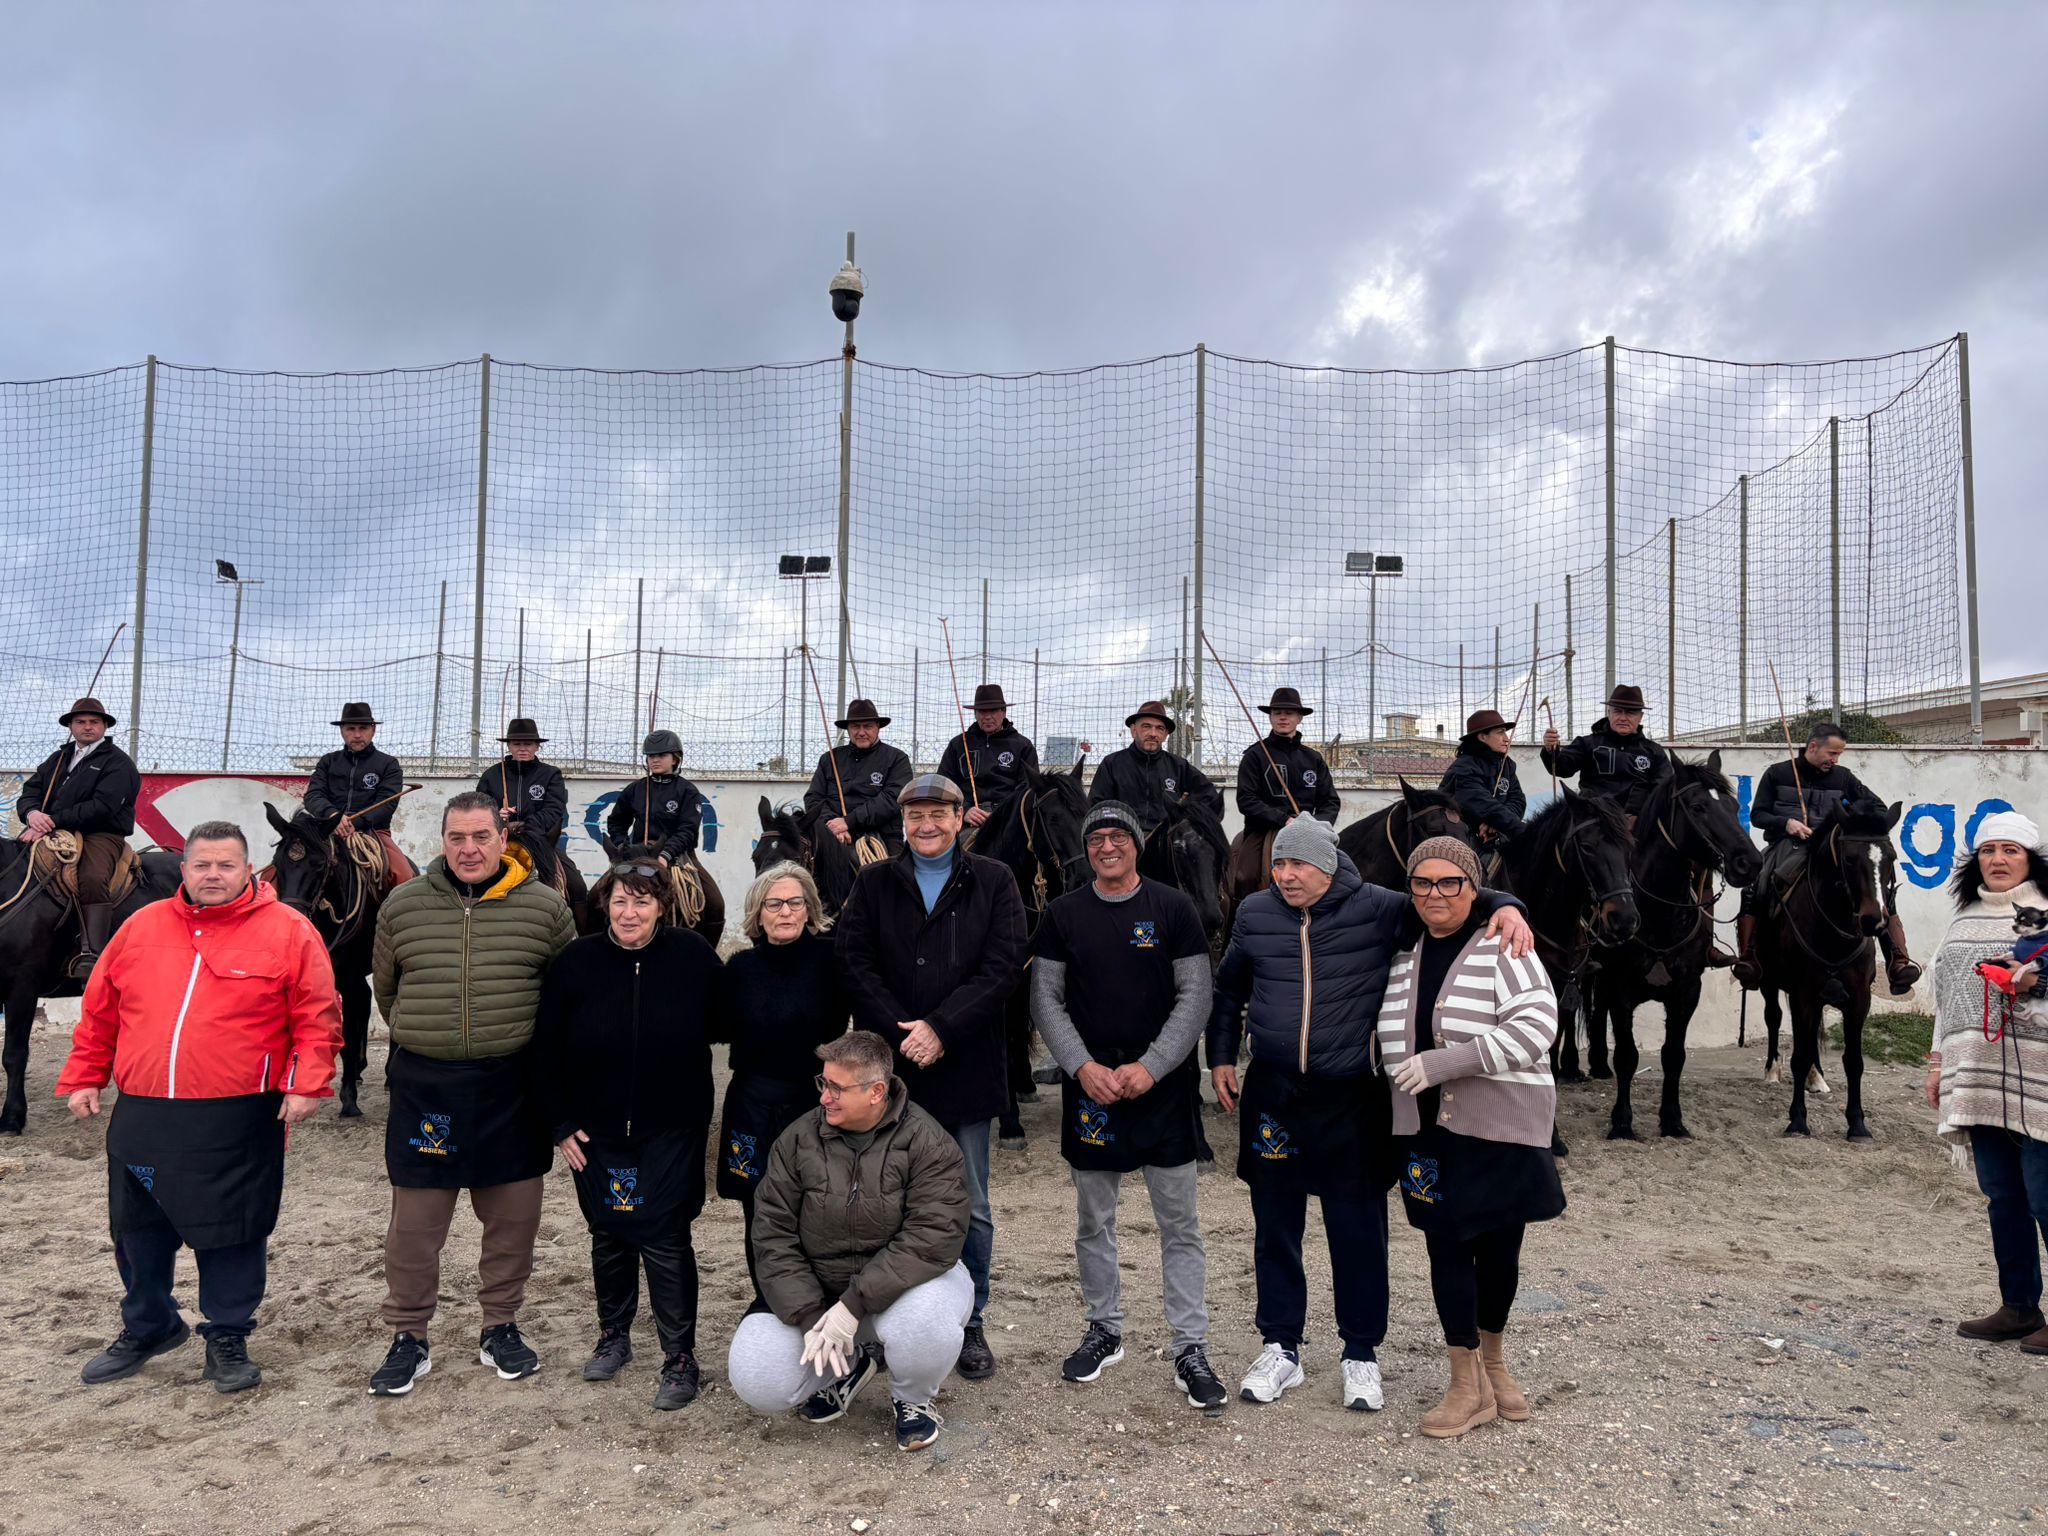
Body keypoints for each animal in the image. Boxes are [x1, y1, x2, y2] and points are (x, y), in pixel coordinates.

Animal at [1581, 757, 1761, 1146]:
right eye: (1698, 807)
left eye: (1733, 806)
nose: (1749, 863)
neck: (1656, 913)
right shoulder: (1621, 991)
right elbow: (1628, 1056)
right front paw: (1622, 1123)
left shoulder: (1686, 992)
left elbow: (1673, 1056)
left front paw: (1672, 1121)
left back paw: (1599, 1064)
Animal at [1753, 798, 1892, 1138]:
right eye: (1850, 858)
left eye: (1891, 858)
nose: (1874, 920)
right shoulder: (1802, 993)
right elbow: (1799, 1056)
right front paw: (1797, 1121)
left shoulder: (1859, 999)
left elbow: (1853, 1060)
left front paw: (1857, 1124)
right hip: (1768, 981)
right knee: (1774, 1017)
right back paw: (1772, 1070)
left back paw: (1817, 1078)